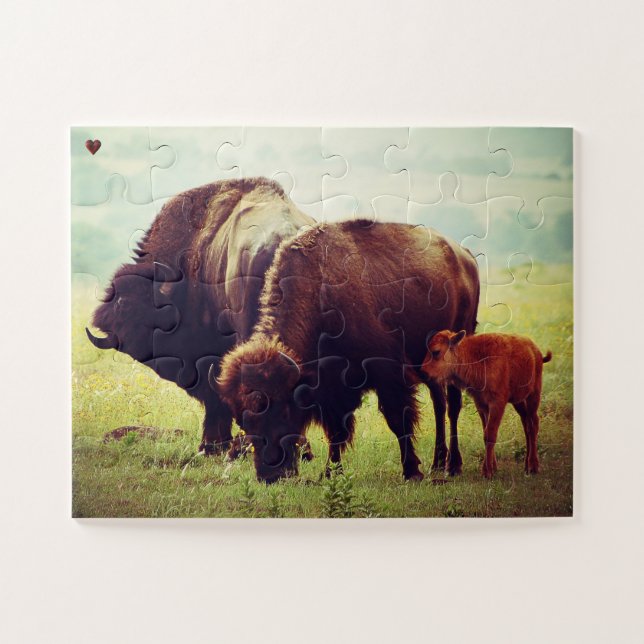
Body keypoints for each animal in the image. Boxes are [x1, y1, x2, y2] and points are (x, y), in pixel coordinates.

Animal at [215, 220, 480, 483]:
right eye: (243, 421)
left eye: (283, 411)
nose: (271, 475)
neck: (320, 293)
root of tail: (466, 257)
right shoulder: (331, 390)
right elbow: (336, 432)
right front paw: (331, 472)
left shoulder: (388, 376)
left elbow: (398, 420)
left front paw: (411, 471)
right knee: (439, 403)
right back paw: (438, 463)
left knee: (452, 406)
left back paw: (453, 466)